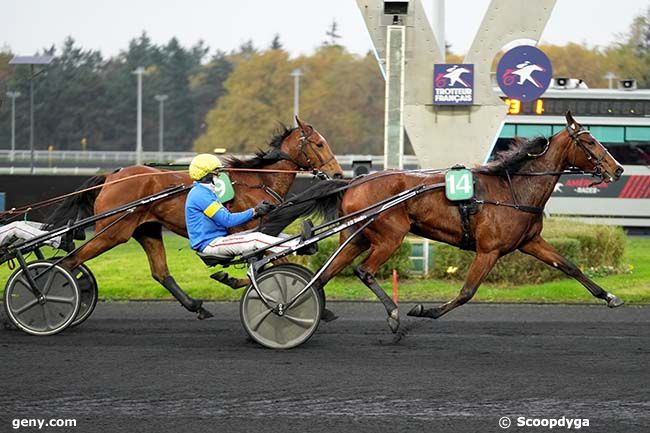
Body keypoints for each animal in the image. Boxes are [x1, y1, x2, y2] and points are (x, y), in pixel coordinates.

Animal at [47, 117, 342, 318]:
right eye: (319, 144)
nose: (338, 173)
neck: (258, 180)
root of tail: (111, 176)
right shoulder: (245, 231)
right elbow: (272, 262)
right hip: (112, 232)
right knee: (70, 261)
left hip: (147, 230)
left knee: (160, 272)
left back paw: (196, 305)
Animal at [260, 112, 624, 330]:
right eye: (589, 141)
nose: (618, 168)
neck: (513, 188)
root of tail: (355, 180)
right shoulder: (488, 250)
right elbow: (467, 292)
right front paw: (424, 311)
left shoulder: (530, 242)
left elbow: (570, 266)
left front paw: (611, 297)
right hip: (390, 235)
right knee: (363, 271)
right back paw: (392, 314)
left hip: (360, 235)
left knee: (326, 274)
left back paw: (308, 307)